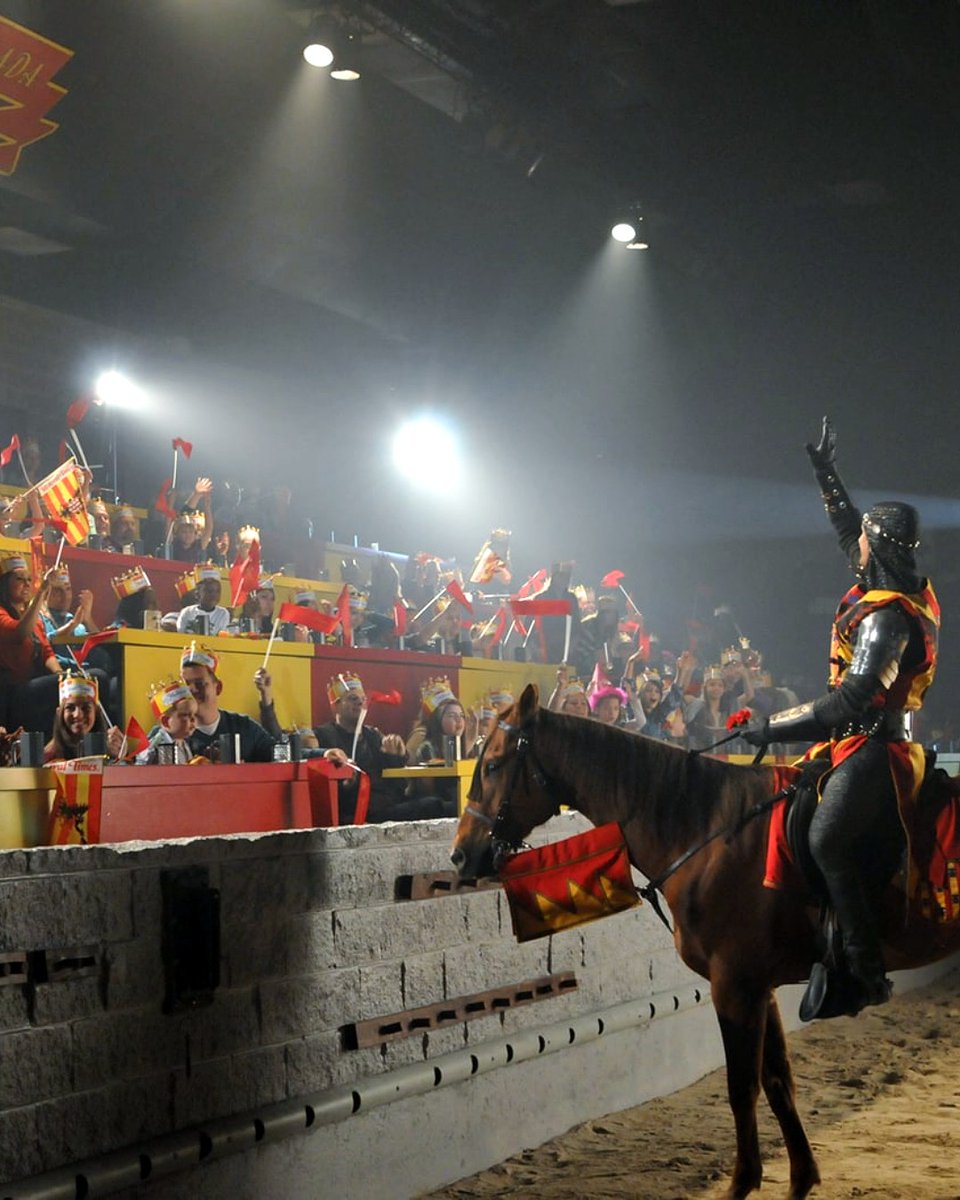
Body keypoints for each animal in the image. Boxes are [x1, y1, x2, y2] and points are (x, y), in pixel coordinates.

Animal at [451, 686, 960, 1200]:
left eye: (493, 764)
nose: (460, 854)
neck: (709, 831)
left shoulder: (734, 987)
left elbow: (741, 1087)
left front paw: (743, 1181)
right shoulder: (760, 988)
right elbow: (778, 1081)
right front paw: (801, 1177)